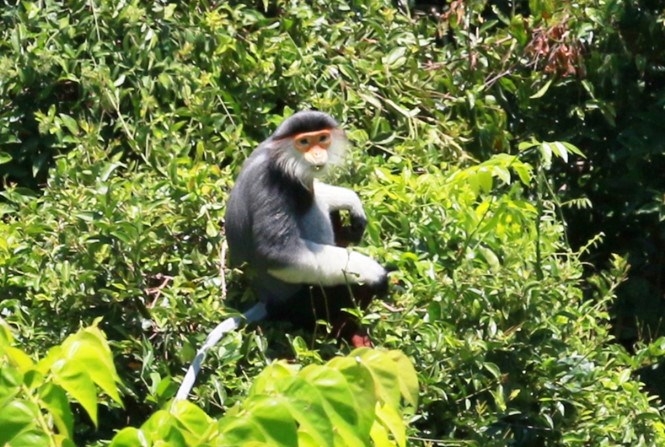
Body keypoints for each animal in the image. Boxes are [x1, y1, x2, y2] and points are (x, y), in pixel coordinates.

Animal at [174, 111, 386, 402]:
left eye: (322, 139)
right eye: (304, 142)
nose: (317, 154)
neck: (279, 156)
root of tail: (268, 300)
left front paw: (350, 201)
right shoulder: (274, 182)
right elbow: (276, 252)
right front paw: (375, 271)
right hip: (306, 303)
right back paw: (351, 332)